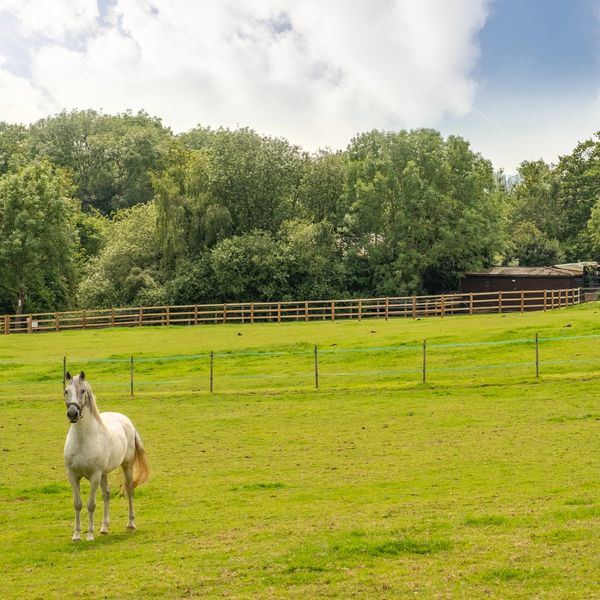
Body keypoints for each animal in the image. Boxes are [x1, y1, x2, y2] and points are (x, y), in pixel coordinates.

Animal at [63, 372, 149, 540]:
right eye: (66, 391)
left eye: (82, 391)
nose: (72, 414)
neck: (82, 440)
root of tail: (126, 421)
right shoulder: (73, 476)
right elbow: (78, 504)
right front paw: (76, 535)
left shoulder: (95, 476)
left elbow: (91, 504)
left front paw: (90, 535)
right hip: (104, 474)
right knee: (106, 494)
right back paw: (104, 527)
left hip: (126, 466)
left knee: (129, 489)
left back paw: (131, 524)